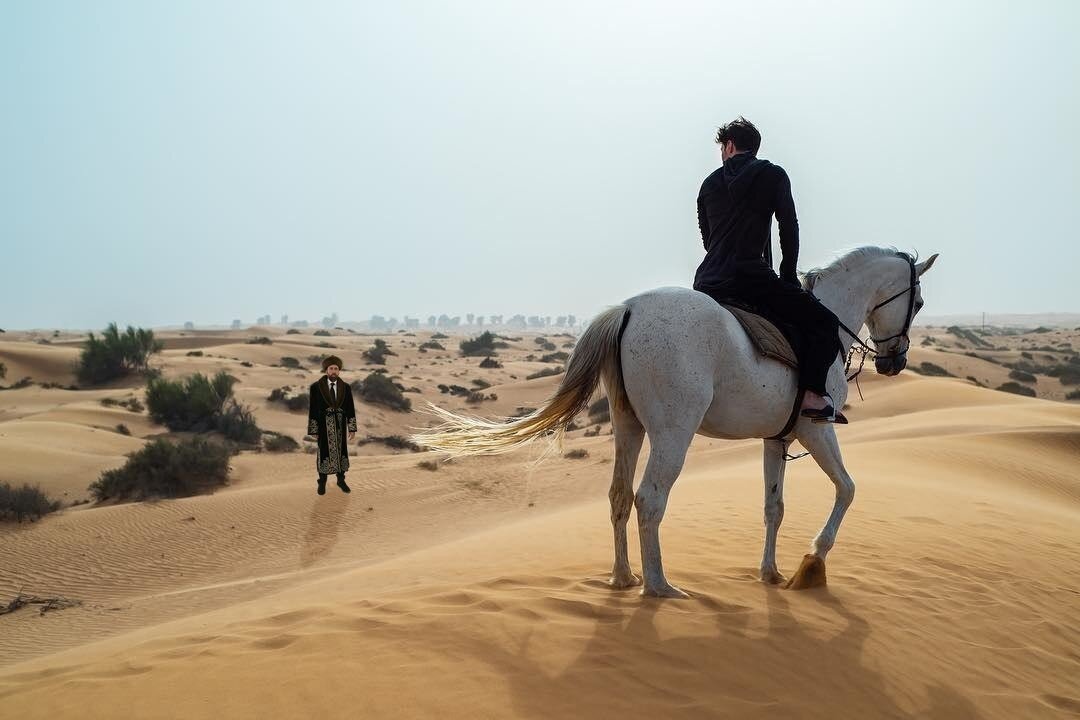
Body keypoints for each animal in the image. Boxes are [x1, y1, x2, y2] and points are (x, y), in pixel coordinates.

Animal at [412, 248, 937, 595]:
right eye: (918, 304)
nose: (894, 363)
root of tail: (628, 308)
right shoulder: (816, 427)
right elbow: (847, 489)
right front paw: (812, 564)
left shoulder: (777, 438)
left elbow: (774, 507)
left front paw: (769, 573)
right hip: (673, 433)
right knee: (649, 499)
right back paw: (659, 586)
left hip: (629, 426)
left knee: (619, 495)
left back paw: (623, 577)